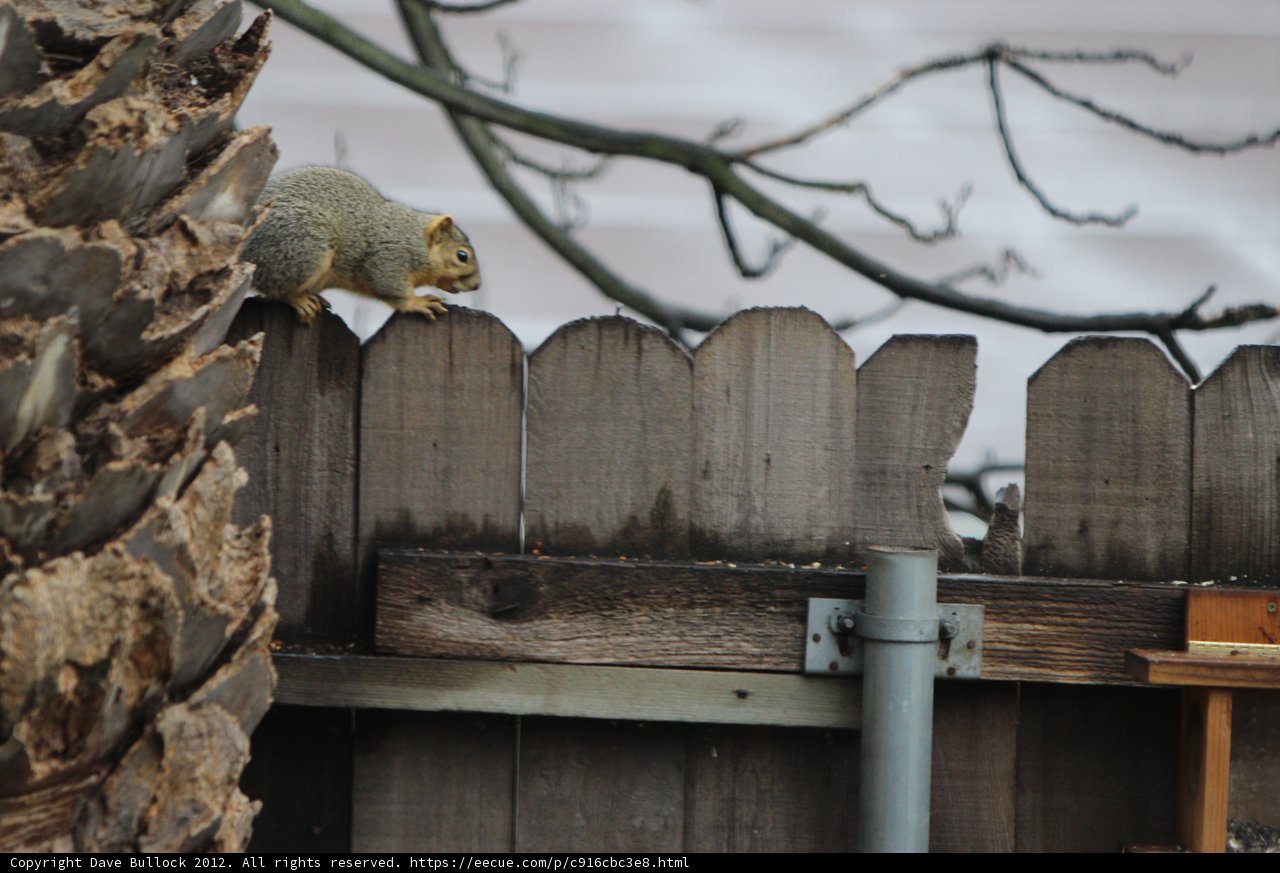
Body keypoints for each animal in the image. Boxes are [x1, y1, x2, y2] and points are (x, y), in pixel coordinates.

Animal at [242, 166, 481, 324]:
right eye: (462, 256)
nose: (477, 286)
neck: (416, 240)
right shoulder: (389, 258)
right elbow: (391, 288)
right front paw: (418, 302)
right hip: (301, 249)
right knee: (274, 289)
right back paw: (299, 299)